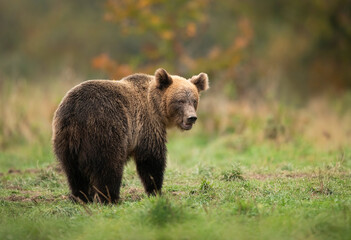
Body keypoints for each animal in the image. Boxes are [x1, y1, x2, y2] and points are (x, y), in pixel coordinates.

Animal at [52, 68, 209, 203]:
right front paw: (155, 190)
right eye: (179, 101)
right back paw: (110, 198)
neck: (156, 107)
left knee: (73, 172)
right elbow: (151, 160)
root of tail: (75, 112)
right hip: (105, 130)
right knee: (109, 168)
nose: (191, 118)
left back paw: (82, 197)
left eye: (194, 100)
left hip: (65, 139)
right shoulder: (146, 125)